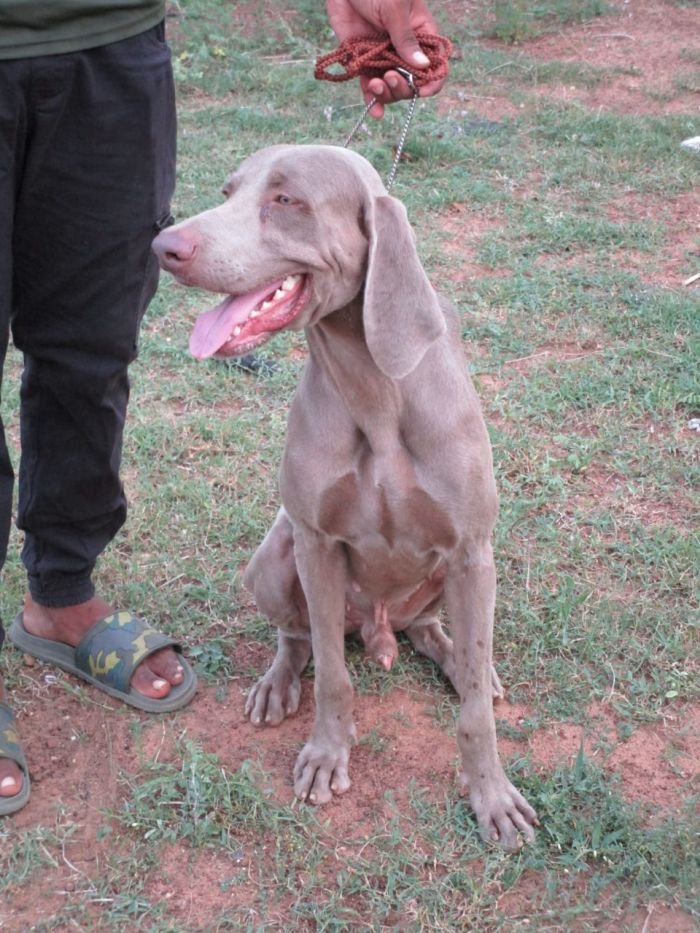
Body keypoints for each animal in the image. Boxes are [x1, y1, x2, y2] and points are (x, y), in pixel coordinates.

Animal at [152, 142, 536, 848]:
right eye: (228, 192)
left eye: (286, 200)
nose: (164, 245)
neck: (374, 390)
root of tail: (378, 629)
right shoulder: (317, 541)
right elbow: (332, 675)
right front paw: (327, 755)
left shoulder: (472, 548)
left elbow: (473, 715)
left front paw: (492, 796)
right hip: (274, 556)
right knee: (298, 637)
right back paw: (278, 684)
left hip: (459, 576)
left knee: (437, 634)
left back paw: (464, 662)